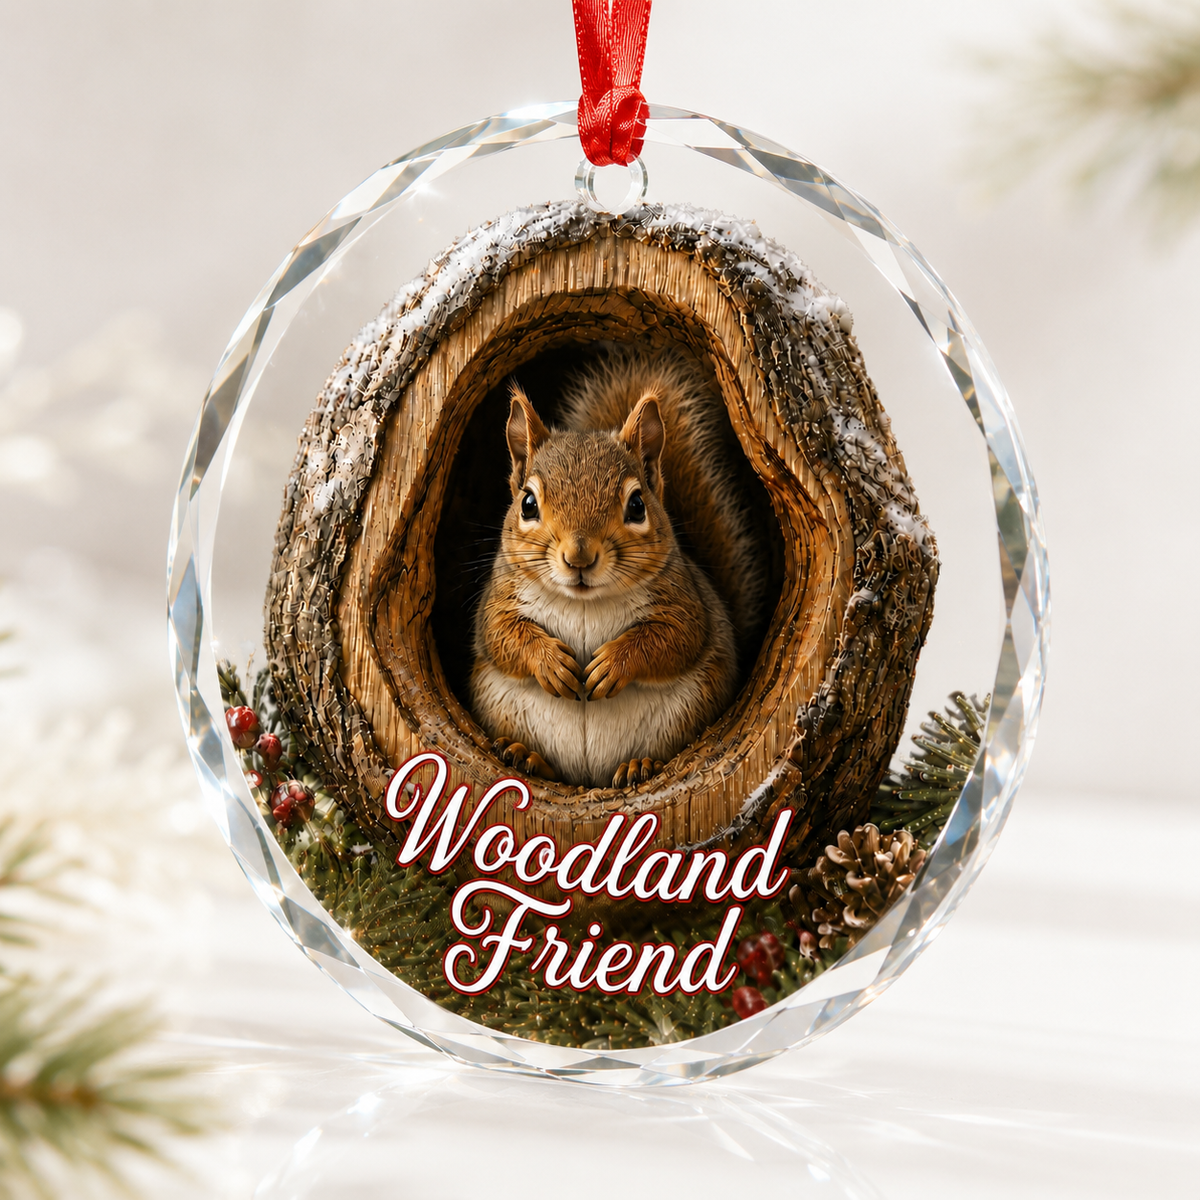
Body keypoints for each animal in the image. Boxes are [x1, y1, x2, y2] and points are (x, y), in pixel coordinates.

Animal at [469, 346, 766, 790]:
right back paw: (526, 756)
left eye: (637, 505)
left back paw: (638, 765)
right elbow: (502, 635)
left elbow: (674, 639)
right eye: (528, 504)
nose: (579, 558)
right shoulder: (501, 597)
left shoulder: (684, 600)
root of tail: (591, 777)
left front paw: (613, 664)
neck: (584, 603)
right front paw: (550, 662)